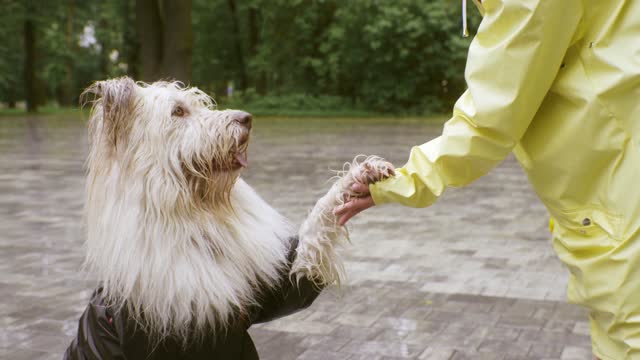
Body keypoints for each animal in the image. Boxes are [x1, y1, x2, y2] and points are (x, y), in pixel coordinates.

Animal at [67, 76, 392, 358]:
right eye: (178, 111)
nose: (246, 118)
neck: (195, 219)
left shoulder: (276, 287)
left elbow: (314, 231)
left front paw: (361, 176)